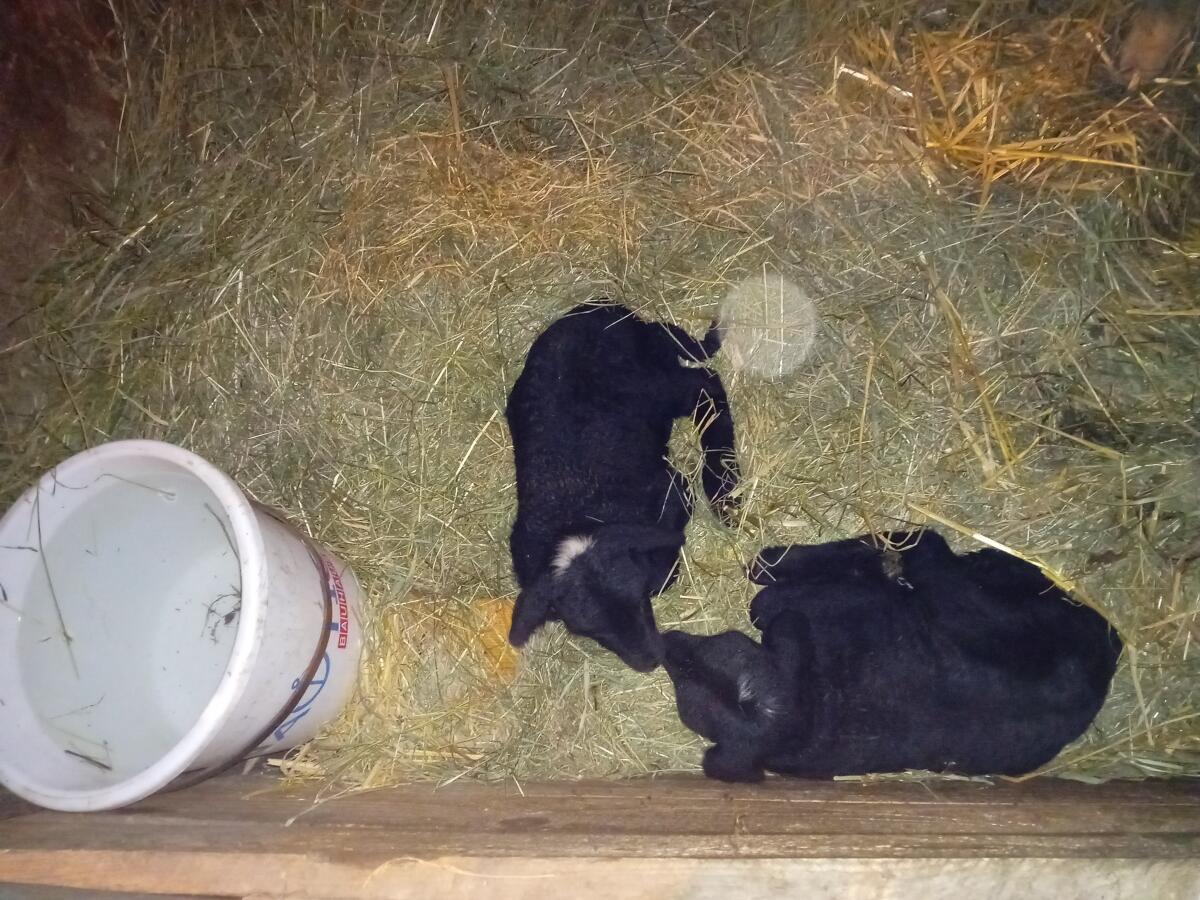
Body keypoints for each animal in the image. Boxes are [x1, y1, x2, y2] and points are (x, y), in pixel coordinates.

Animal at [505, 300, 740, 672]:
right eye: (590, 630)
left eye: (639, 599)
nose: (650, 660)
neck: (578, 515)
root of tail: (606, 308)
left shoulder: (671, 492)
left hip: (659, 386)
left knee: (706, 385)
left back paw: (722, 484)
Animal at [663, 529, 1123, 781]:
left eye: (683, 689)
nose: (667, 643)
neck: (812, 704)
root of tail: (1111, 642)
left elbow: (764, 605)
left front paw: (773, 569)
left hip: (958, 598)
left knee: (927, 547)